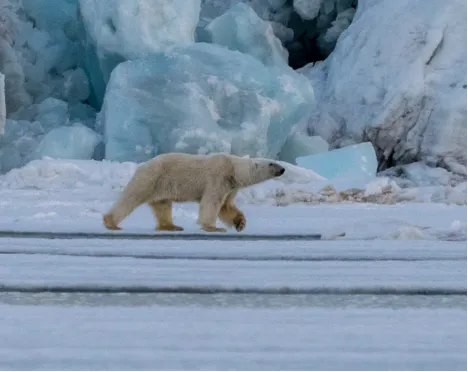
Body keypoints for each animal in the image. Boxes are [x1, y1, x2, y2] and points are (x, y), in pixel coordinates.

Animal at [103, 153, 286, 231]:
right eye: (271, 163)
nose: (283, 169)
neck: (233, 169)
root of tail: (142, 165)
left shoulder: (230, 187)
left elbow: (226, 207)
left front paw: (240, 223)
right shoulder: (218, 178)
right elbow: (211, 203)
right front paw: (213, 227)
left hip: (161, 186)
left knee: (162, 206)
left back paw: (172, 226)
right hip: (151, 178)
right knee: (131, 198)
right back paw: (111, 222)